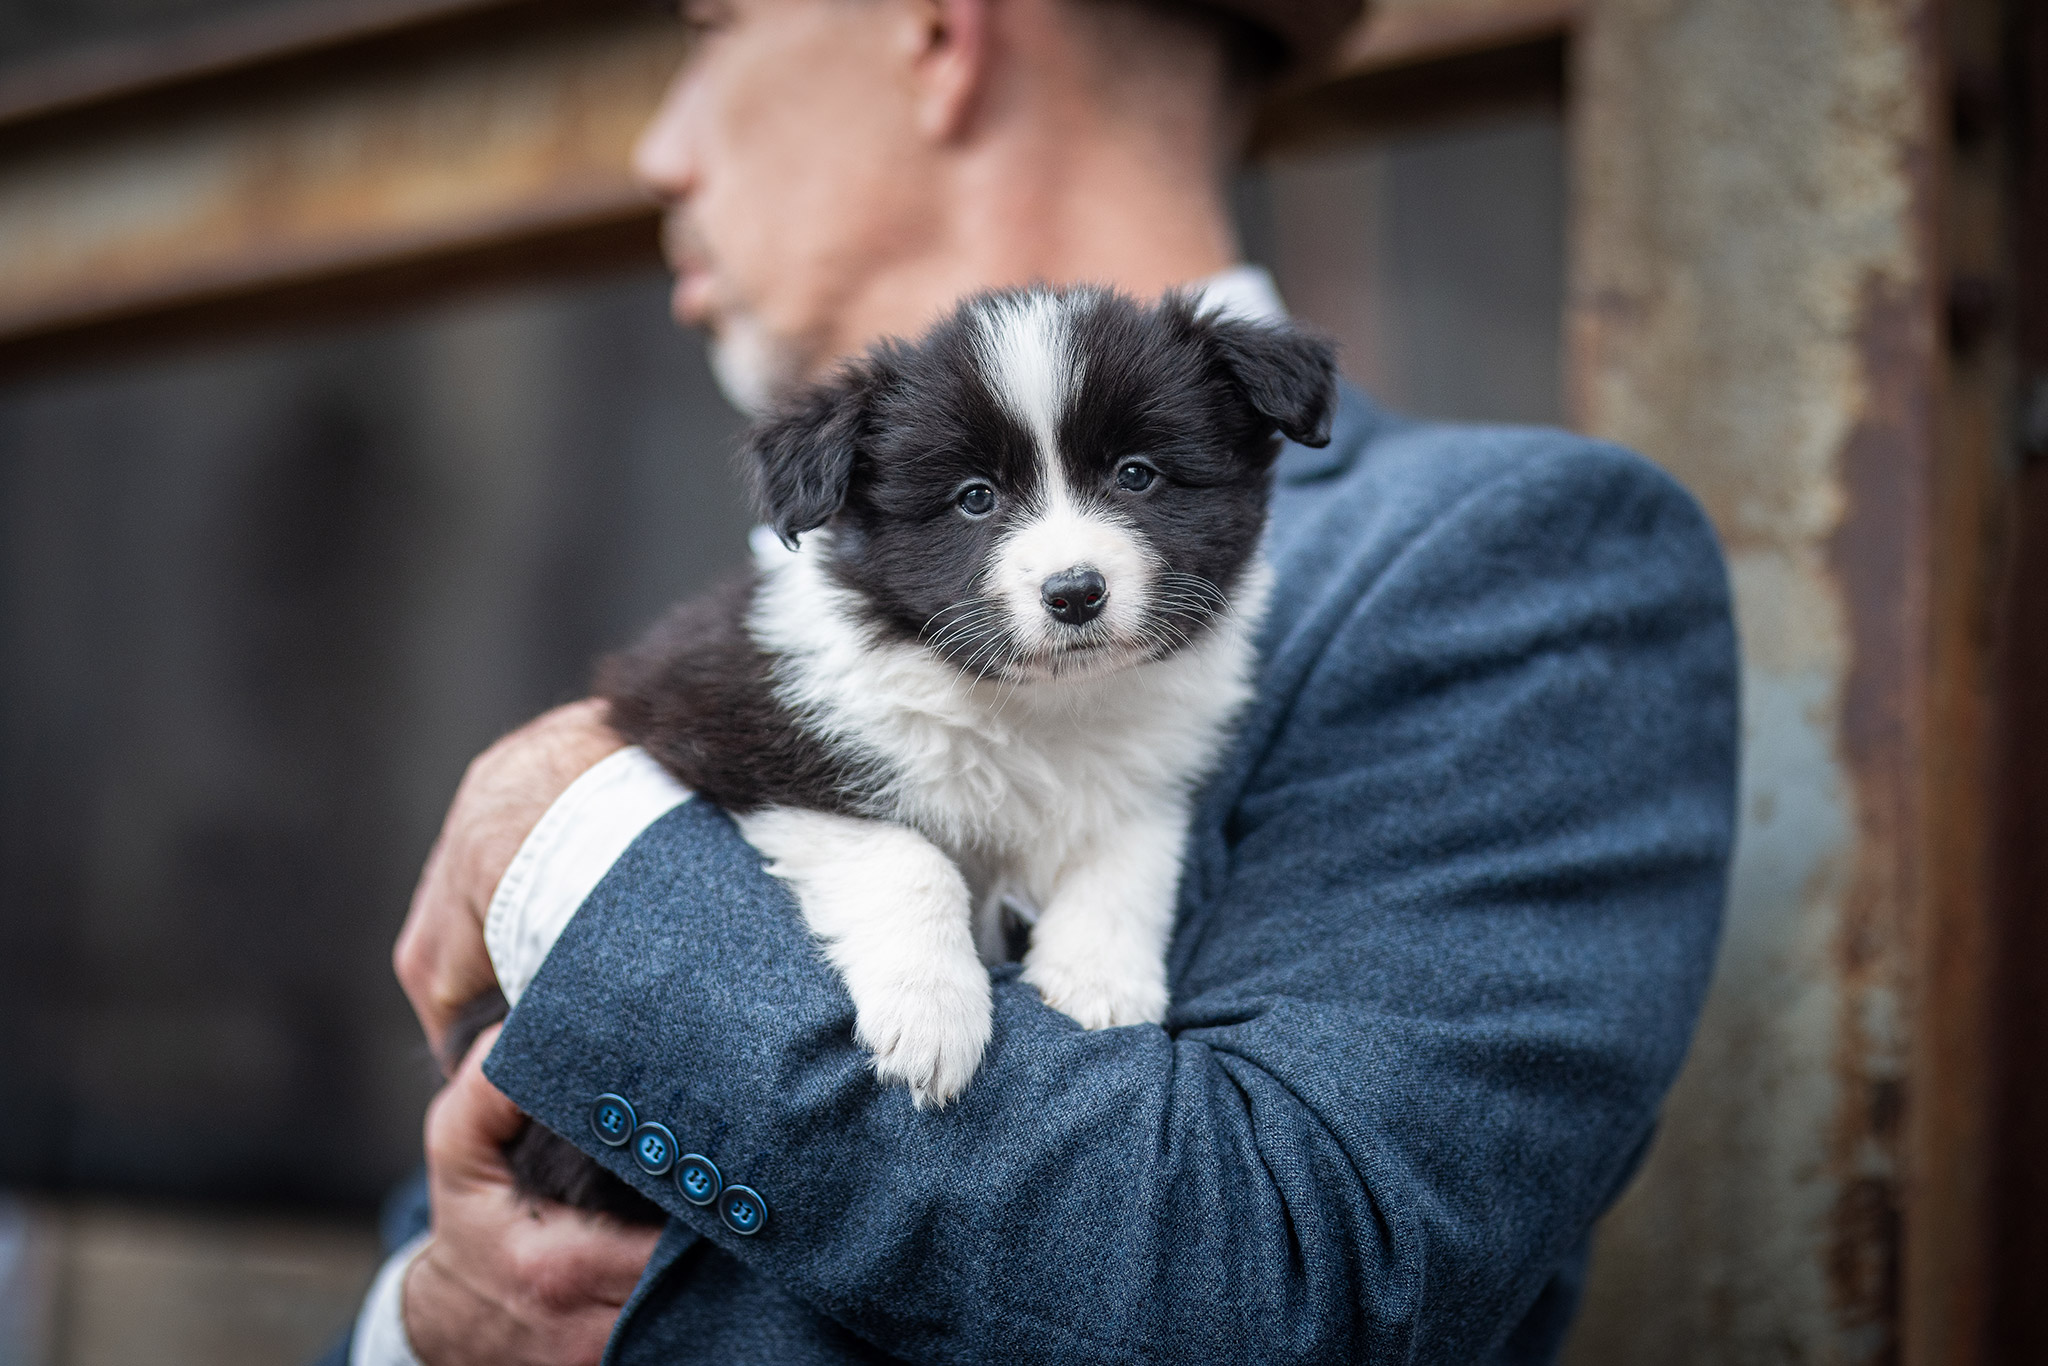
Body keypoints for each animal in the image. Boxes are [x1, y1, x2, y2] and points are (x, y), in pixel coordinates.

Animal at [468, 282, 1327, 1212]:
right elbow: (910, 859)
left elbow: (1130, 854)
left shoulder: (1152, 767)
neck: (1034, 705)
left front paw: (1101, 985)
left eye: (1137, 474)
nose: (1075, 593)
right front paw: (933, 1018)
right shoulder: (734, 728)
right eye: (975, 498)